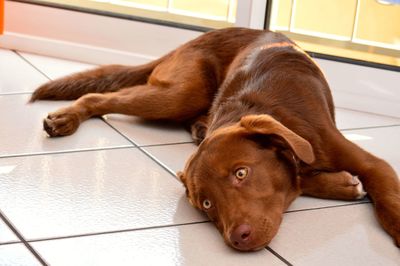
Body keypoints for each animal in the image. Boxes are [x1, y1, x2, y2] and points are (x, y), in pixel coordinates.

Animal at [29, 27, 398, 251]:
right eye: (206, 204)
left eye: (241, 173)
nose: (238, 238)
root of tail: (188, 41)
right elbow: (300, 178)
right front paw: (341, 184)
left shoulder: (371, 163)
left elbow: (386, 201)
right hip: (180, 93)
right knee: (98, 97)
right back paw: (64, 118)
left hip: (181, 95)